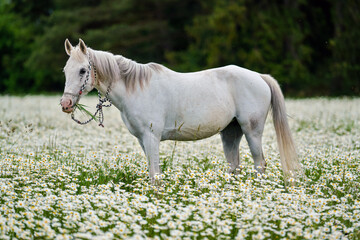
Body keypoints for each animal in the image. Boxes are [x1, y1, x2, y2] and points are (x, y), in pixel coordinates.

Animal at [61, 39, 300, 181]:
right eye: (65, 70)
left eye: (82, 70)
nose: (66, 104)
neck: (136, 88)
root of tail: (260, 77)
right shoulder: (143, 140)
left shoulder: (151, 137)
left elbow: (155, 174)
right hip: (231, 132)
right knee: (234, 165)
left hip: (252, 131)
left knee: (260, 164)